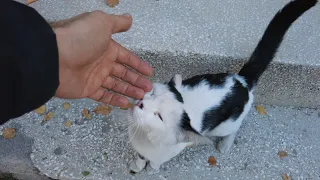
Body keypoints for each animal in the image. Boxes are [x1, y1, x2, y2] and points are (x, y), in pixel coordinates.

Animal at [127, 0, 318, 174]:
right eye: (152, 93)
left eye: (159, 116)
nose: (141, 103)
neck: (143, 136)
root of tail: (241, 80)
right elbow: (140, 157)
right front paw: (138, 165)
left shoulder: (170, 150)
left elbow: (155, 162)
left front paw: (151, 170)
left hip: (225, 124)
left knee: (233, 129)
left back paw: (225, 144)